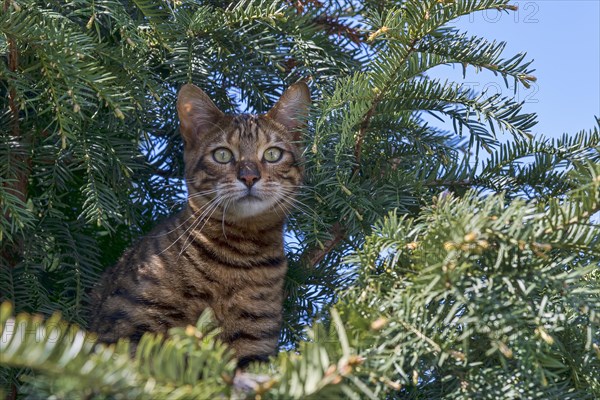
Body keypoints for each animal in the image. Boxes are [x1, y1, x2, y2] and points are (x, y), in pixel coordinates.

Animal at [92, 83, 314, 368]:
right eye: (222, 155)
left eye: (273, 154)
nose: (249, 176)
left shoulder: (254, 340)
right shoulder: (129, 321)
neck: (238, 259)